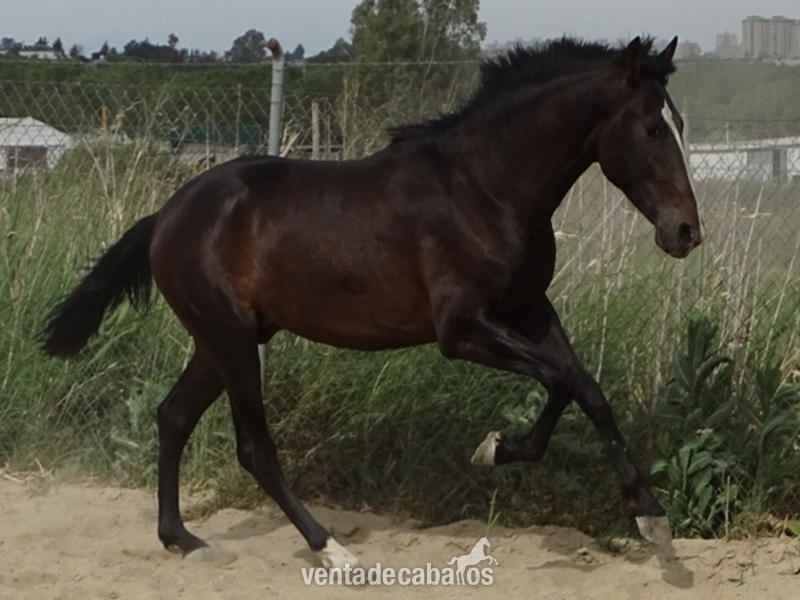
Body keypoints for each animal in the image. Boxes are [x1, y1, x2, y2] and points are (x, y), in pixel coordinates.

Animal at [41, 36, 701, 569]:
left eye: (681, 122)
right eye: (652, 128)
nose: (686, 232)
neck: (485, 189)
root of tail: (165, 216)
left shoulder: (531, 309)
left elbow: (586, 388)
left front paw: (650, 517)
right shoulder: (462, 328)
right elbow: (561, 379)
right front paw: (496, 449)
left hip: (224, 341)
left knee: (173, 416)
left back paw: (183, 540)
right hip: (229, 339)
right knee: (254, 447)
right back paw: (331, 548)